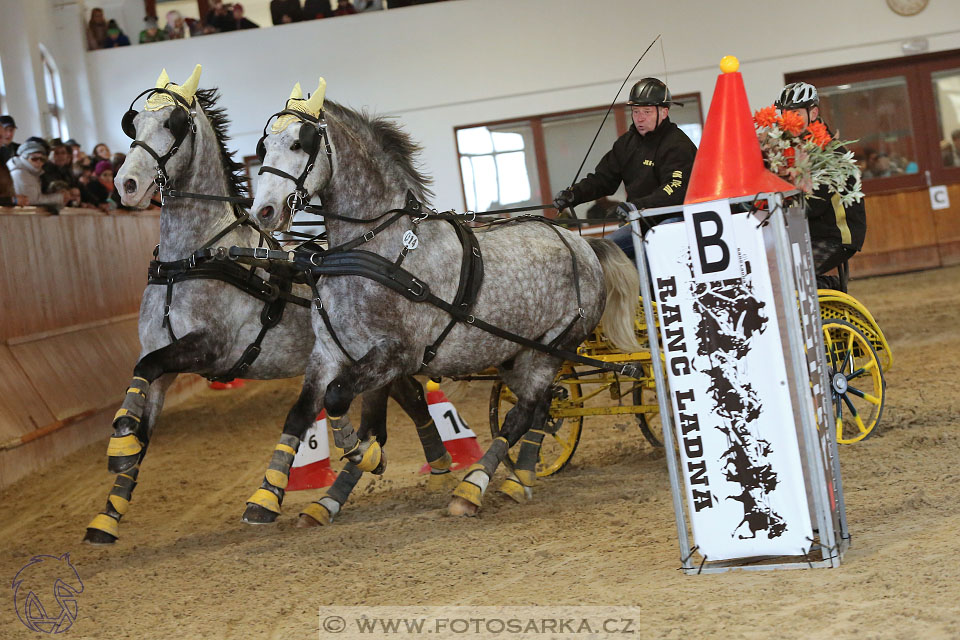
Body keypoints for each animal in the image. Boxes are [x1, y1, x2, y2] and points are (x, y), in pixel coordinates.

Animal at [84, 66, 448, 544]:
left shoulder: (210, 348)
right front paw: (110, 504)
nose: (126, 184)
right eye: (135, 123)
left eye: (172, 125)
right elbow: (143, 408)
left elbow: (145, 372)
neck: (190, 259)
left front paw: (120, 444)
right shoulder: (161, 358)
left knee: (386, 418)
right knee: (410, 399)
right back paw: (435, 466)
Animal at [244, 77, 640, 524]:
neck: (375, 250)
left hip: (554, 348)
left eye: (301, 142)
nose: (263, 212)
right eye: (264, 145)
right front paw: (272, 498)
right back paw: (520, 479)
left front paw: (368, 456)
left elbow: (340, 401)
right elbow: (307, 411)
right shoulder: (330, 351)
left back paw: (472, 488)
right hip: (517, 353)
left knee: (521, 414)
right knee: (542, 408)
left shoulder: (396, 355)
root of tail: (583, 245)